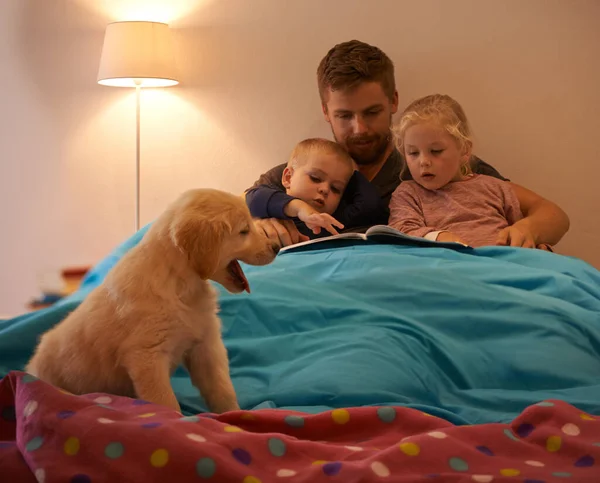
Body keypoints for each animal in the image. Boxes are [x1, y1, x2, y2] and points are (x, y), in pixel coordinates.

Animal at [27, 188, 280, 412]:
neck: (180, 283)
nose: (277, 247)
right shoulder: (147, 357)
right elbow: (166, 402)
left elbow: (221, 388)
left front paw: (234, 414)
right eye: (244, 231)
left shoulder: (205, 344)